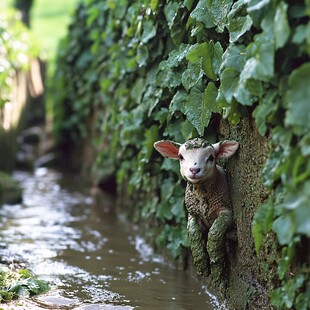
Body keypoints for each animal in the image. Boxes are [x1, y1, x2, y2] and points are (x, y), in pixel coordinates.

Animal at [154, 138, 239, 290]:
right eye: (181, 157)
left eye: (211, 157)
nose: (194, 170)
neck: (202, 193)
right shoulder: (193, 213)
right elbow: (193, 233)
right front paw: (202, 264)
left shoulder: (226, 210)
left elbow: (216, 231)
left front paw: (217, 269)